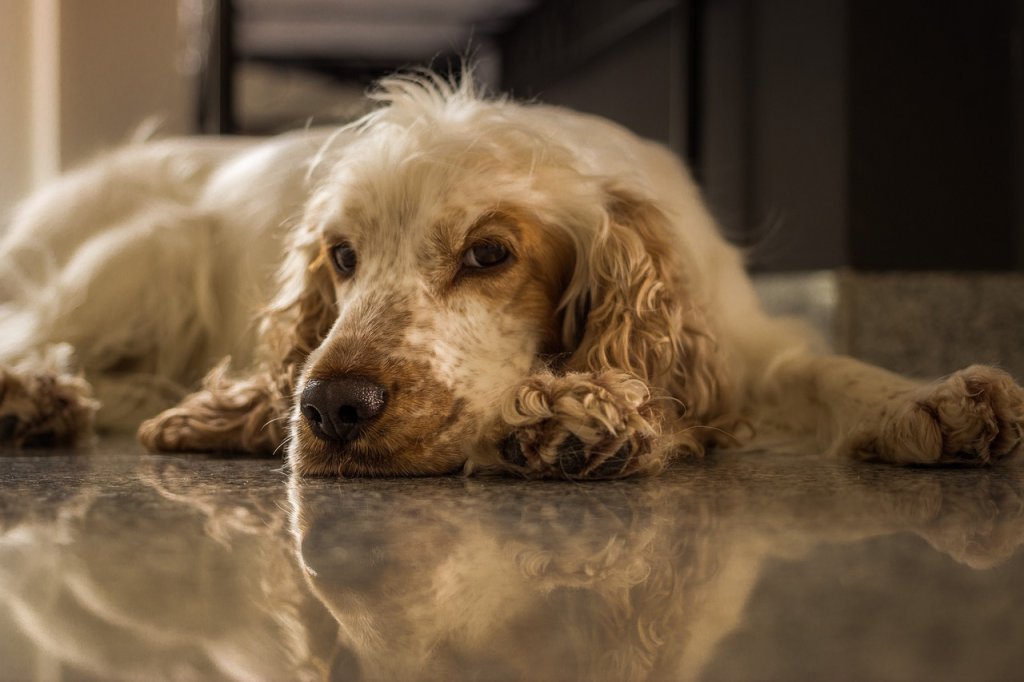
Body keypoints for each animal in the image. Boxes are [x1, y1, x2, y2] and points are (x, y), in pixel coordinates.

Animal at [0, 69, 1019, 473]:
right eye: (343, 256)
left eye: (489, 254)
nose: (331, 409)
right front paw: (567, 416)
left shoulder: (738, 343)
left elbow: (826, 370)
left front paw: (929, 401)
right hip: (143, 256)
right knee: (36, 333)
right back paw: (34, 396)